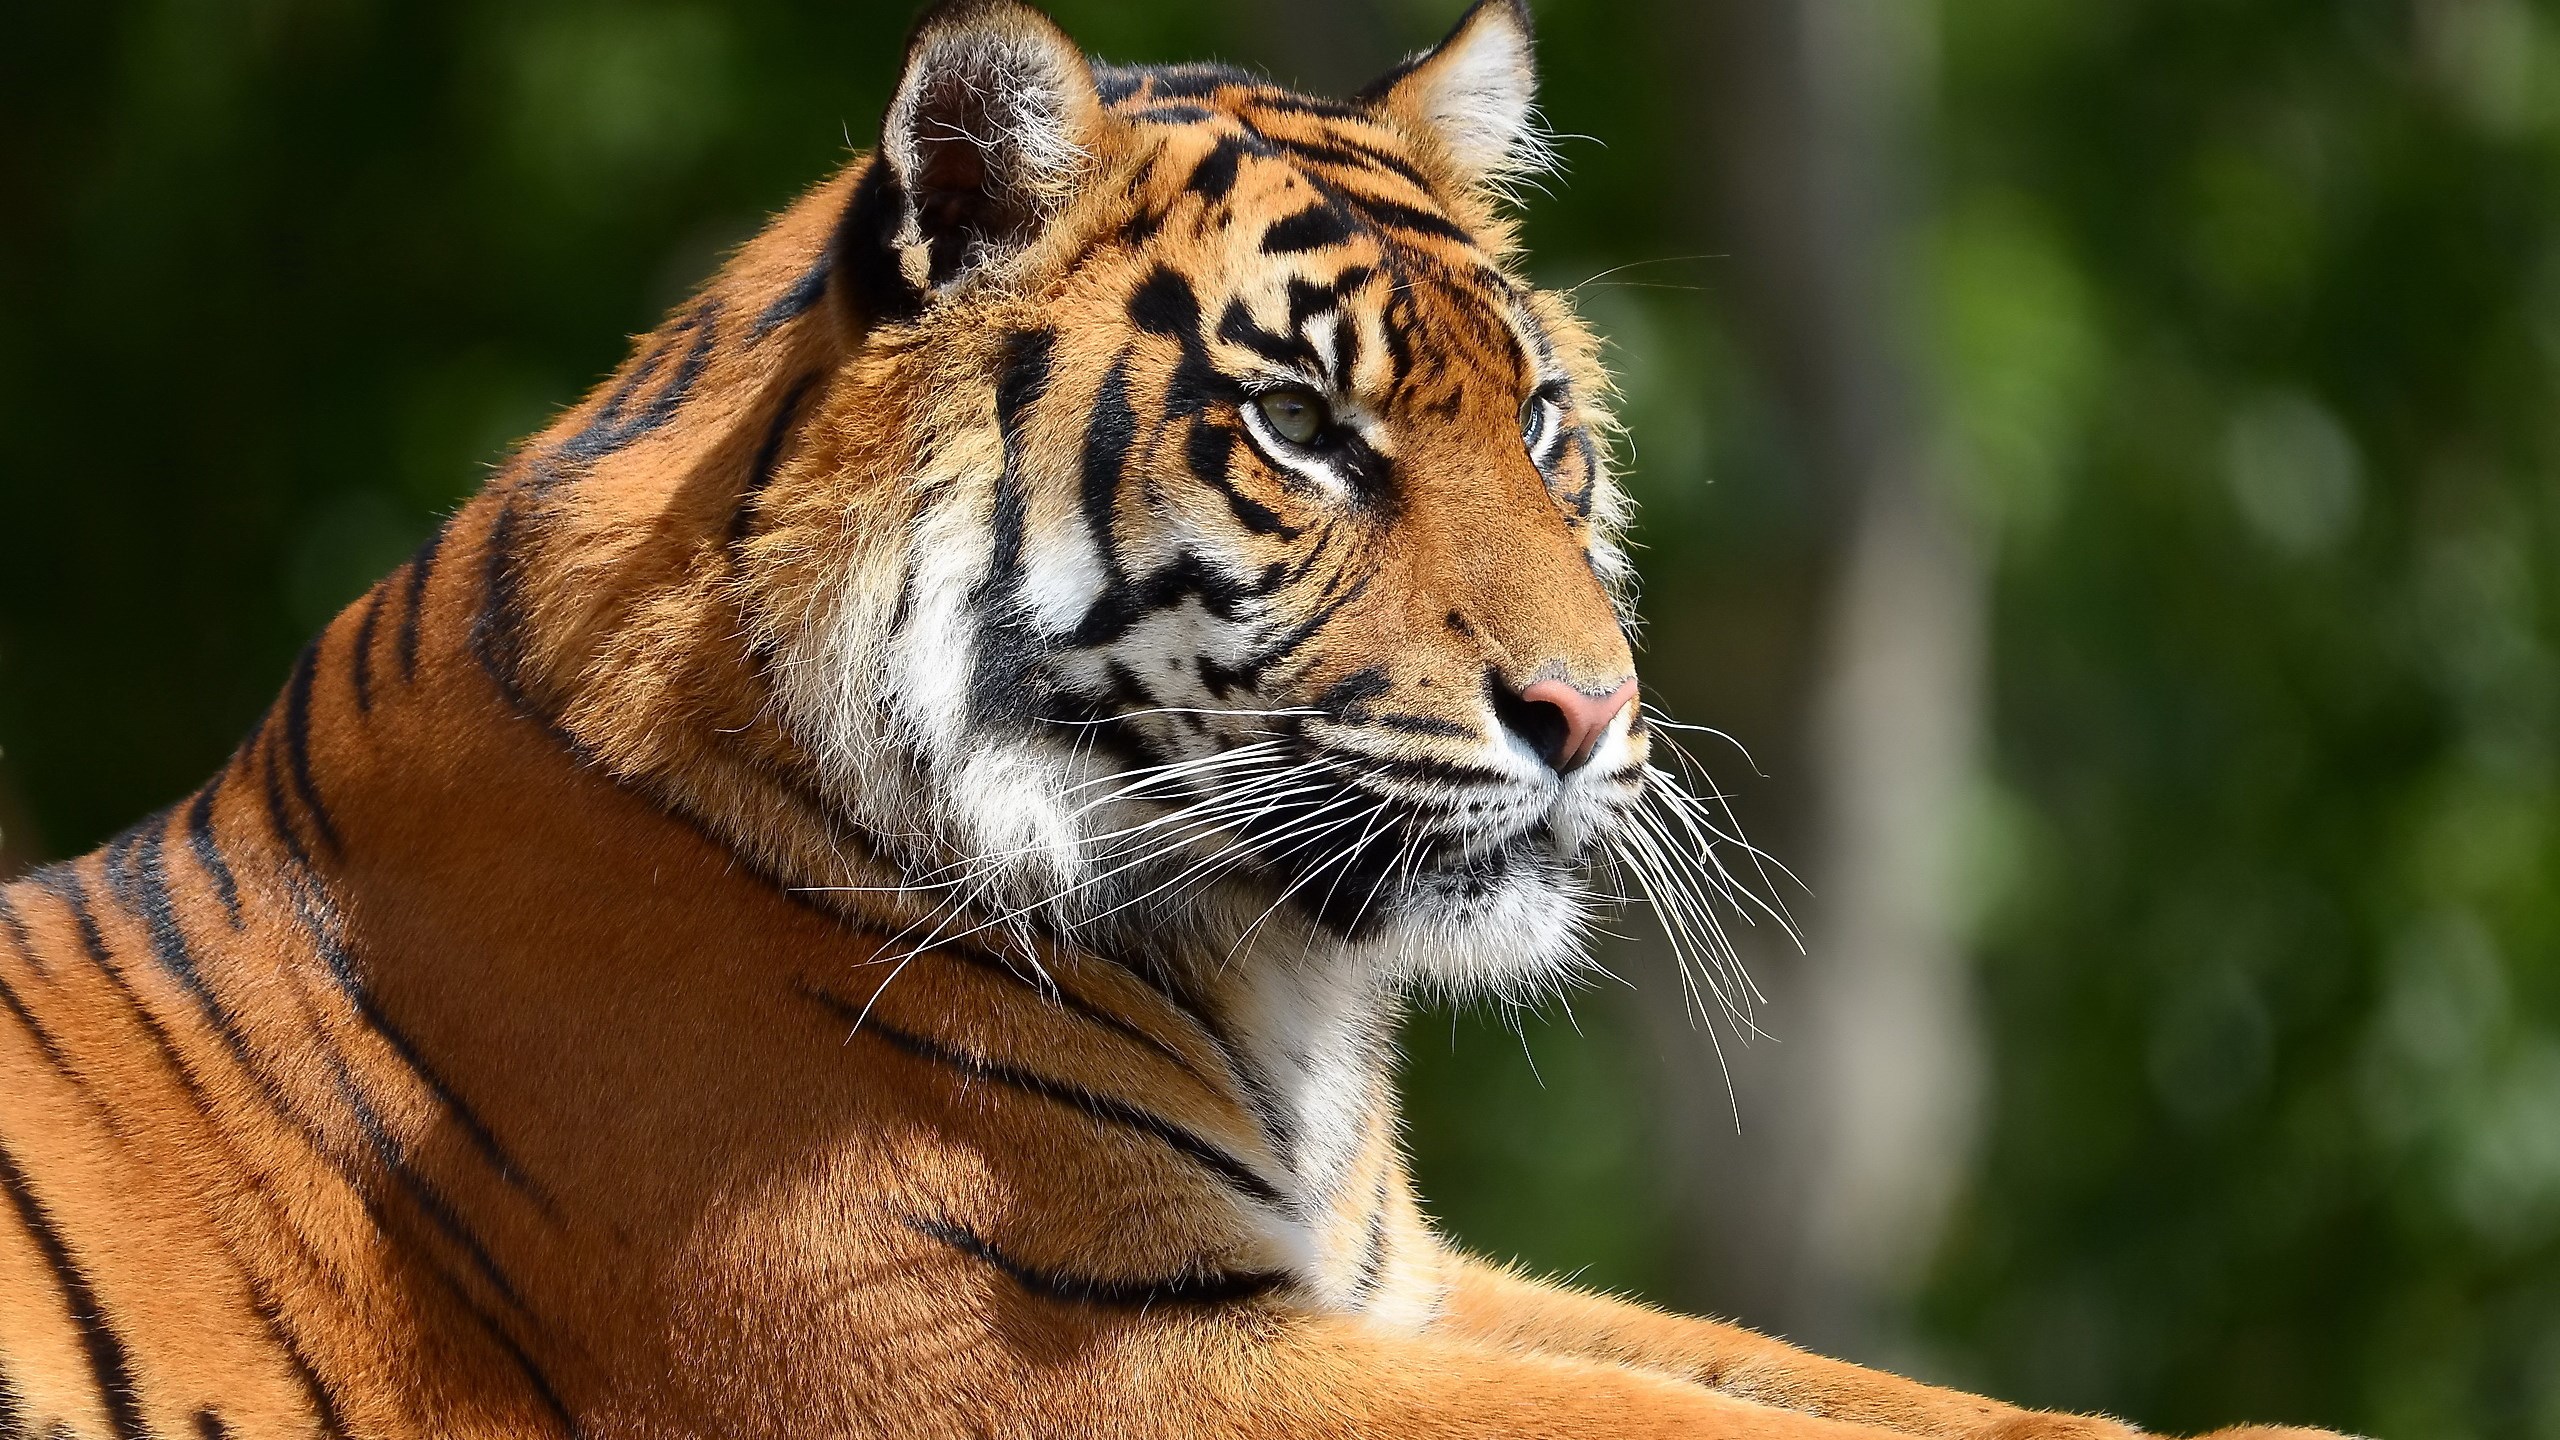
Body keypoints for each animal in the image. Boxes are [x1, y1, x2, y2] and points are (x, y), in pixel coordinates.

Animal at [0, 1, 2340, 1436]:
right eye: (1303, 429)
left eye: (1545, 428)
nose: (1591, 713)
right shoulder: (1067, 1358)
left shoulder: (1400, 1286)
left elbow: (1872, 1394)